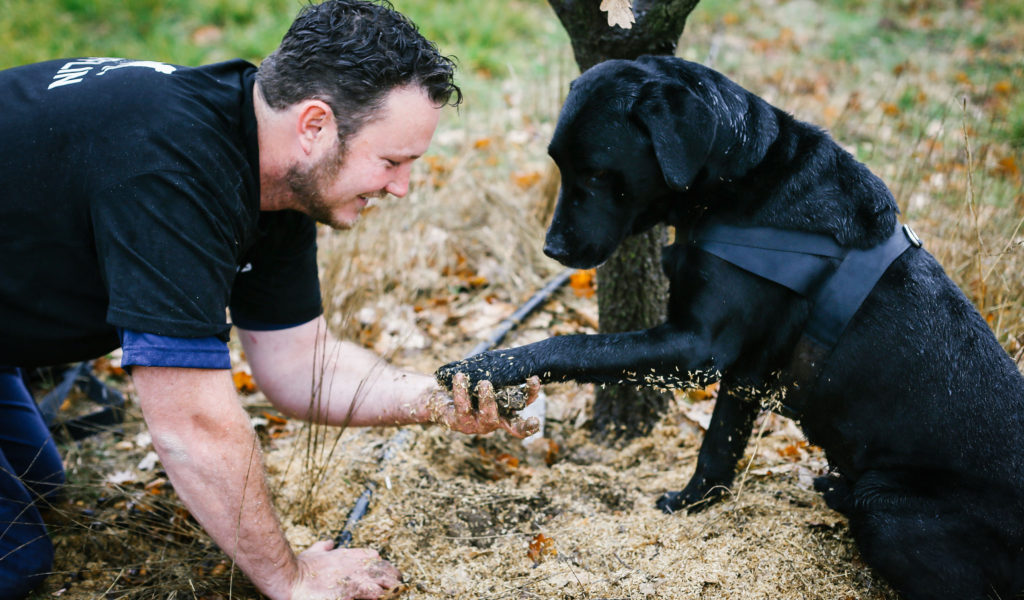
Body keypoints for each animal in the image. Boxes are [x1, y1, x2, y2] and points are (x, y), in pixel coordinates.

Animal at [438, 54, 1024, 593]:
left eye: (599, 173)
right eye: (559, 165)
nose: (553, 249)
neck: (740, 183)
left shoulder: (697, 348)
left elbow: (574, 345)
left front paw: (490, 365)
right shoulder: (745, 371)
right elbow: (718, 446)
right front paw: (693, 503)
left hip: (887, 505)